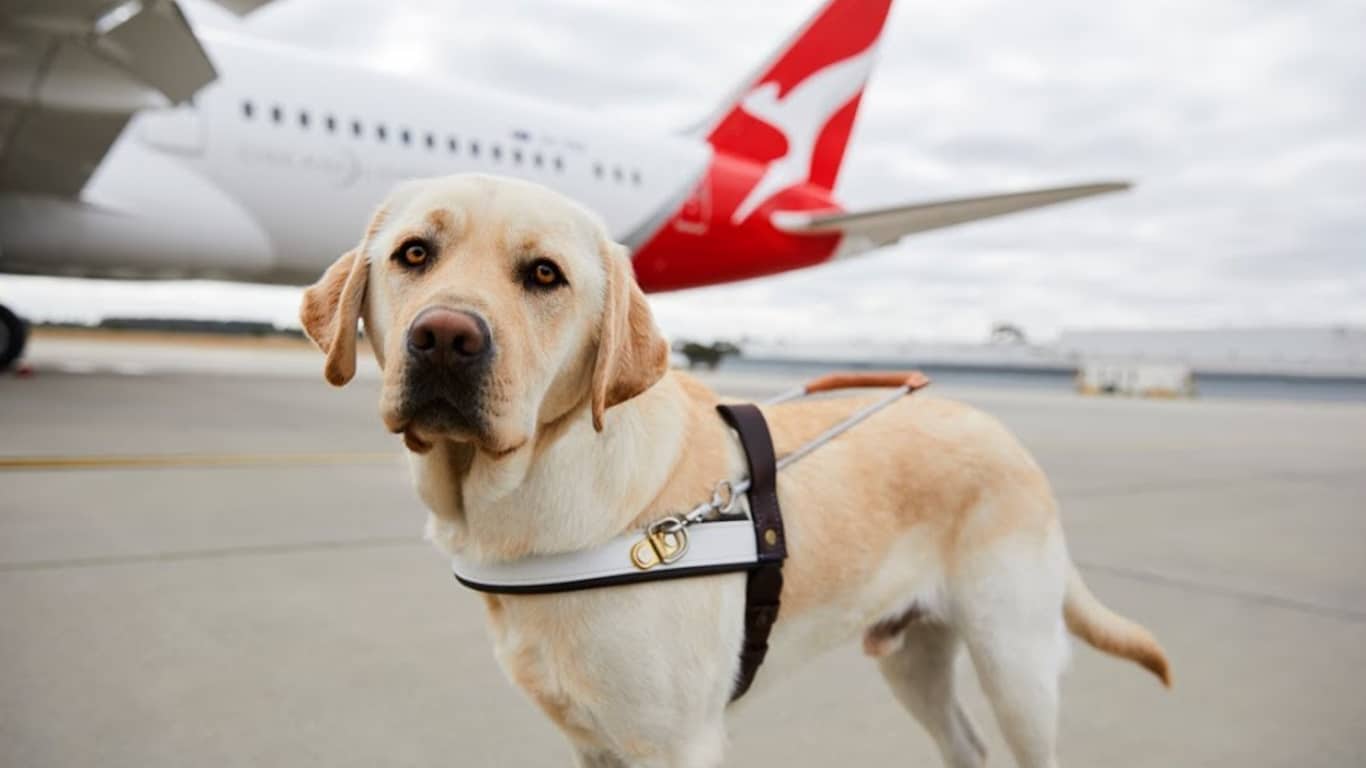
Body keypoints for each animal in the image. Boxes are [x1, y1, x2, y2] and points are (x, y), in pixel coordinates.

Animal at [301, 173, 1174, 765]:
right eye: (414, 253)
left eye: (544, 274)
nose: (446, 338)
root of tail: (1002, 429)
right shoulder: (592, 739)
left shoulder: (675, 743)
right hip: (915, 658)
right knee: (966, 748)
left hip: (1015, 661)